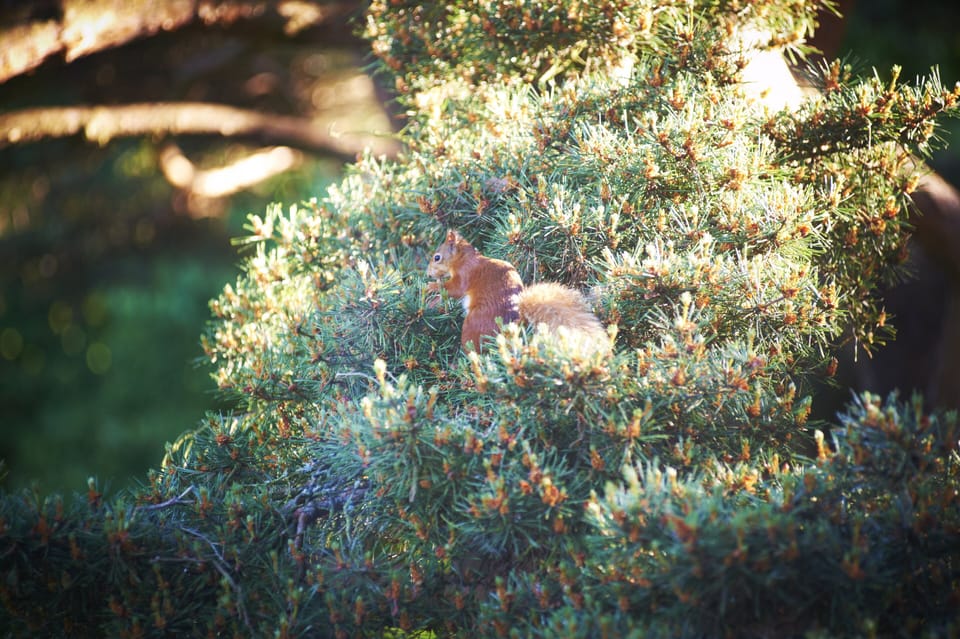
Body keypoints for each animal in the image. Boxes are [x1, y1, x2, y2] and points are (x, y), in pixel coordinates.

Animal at [426, 229, 610, 354]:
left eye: (437, 257)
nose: (428, 273)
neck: (465, 258)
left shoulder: (466, 273)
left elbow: (454, 289)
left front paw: (432, 286)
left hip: (473, 324)